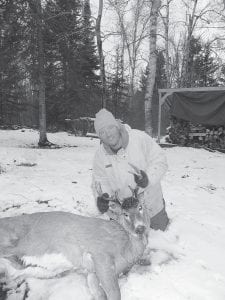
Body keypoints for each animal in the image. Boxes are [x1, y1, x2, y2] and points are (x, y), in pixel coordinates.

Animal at [0, 190, 150, 300]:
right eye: (125, 214)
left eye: (140, 207)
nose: (140, 228)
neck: (126, 248)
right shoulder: (101, 257)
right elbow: (115, 294)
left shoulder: (91, 272)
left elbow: (99, 295)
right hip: (18, 242)